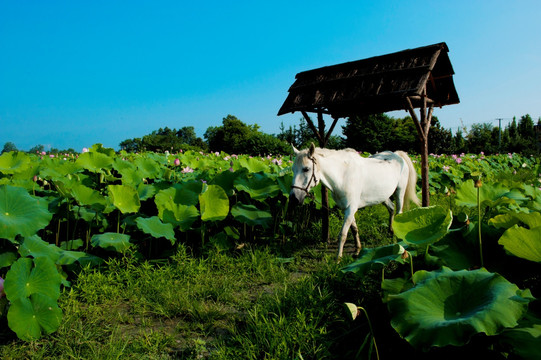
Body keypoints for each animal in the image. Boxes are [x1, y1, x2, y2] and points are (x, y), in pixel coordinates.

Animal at [288, 143, 420, 258]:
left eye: (306, 169)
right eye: (293, 169)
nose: (294, 198)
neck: (343, 176)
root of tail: (396, 155)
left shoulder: (350, 208)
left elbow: (343, 234)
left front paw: (338, 259)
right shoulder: (346, 208)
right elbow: (354, 229)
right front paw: (357, 250)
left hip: (400, 192)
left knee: (398, 212)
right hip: (383, 196)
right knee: (391, 208)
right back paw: (391, 230)